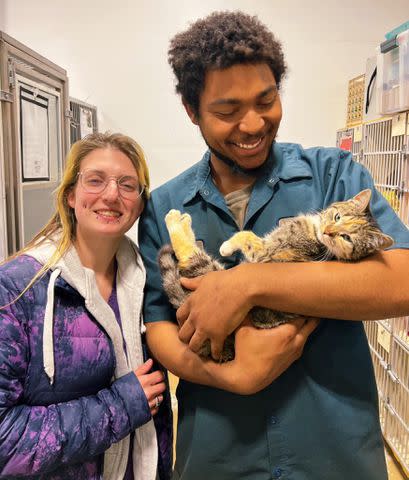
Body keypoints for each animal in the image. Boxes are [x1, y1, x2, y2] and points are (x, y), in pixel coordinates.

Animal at [157, 189, 392, 362]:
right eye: (337, 216)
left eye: (347, 238)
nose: (328, 231)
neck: (315, 237)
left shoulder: (265, 252)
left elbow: (247, 236)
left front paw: (227, 246)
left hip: (208, 275)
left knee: (188, 255)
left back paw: (177, 221)